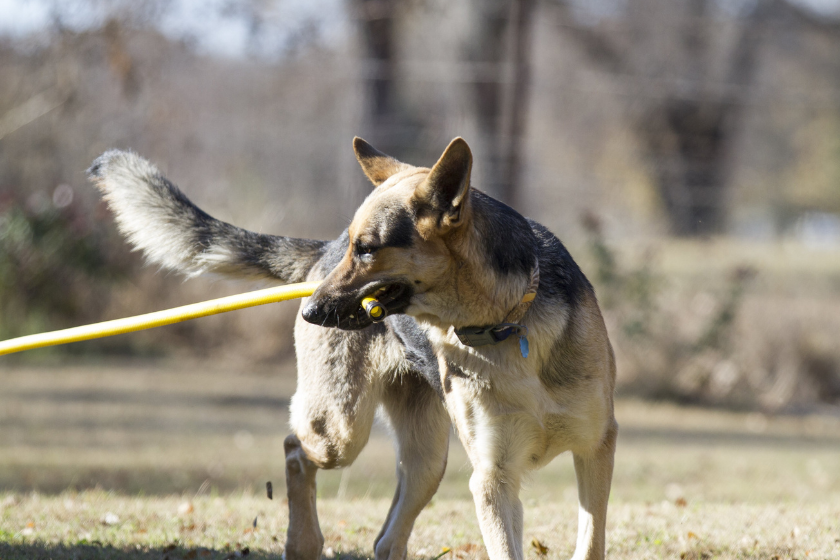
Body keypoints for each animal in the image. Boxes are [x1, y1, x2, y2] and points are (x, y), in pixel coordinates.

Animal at [90, 138, 616, 560]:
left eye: (367, 249)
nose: (309, 310)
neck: (508, 324)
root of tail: (321, 251)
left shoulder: (594, 450)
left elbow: (591, 542)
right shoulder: (492, 479)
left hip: (427, 462)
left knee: (386, 540)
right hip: (342, 431)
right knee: (295, 447)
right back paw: (303, 542)